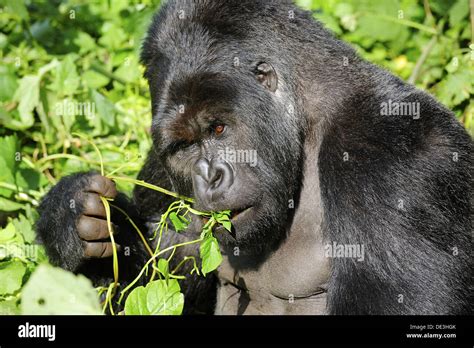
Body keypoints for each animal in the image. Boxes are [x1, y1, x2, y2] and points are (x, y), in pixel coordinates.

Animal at [35, 0, 472, 316]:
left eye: (218, 129)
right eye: (185, 147)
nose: (209, 177)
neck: (306, 123)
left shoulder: (395, 158)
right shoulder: (161, 166)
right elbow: (161, 285)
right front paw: (78, 221)